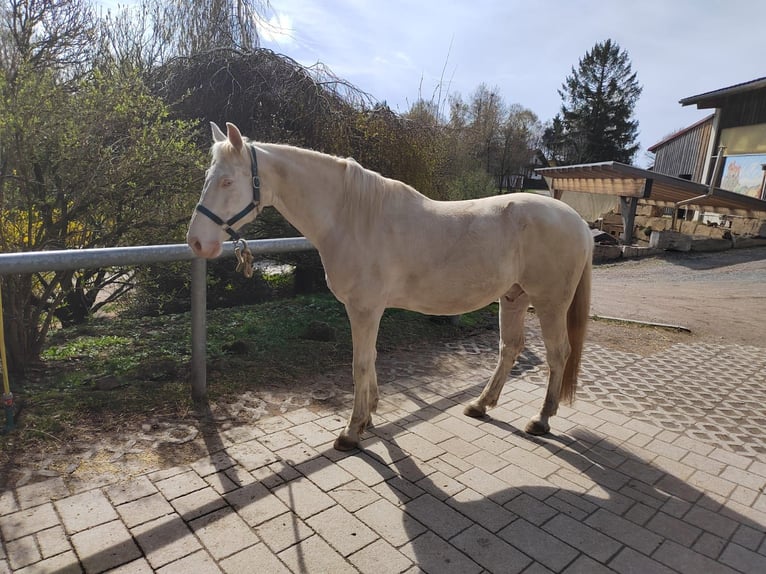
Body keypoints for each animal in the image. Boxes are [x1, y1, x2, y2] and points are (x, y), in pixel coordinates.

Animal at [186, 124, 592, 452]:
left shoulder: (364, 308)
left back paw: (541, 419)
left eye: (227, 181)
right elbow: (373, 358)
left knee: (559, 353)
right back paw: (480, 405)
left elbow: (360, 363)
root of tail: (578, 222)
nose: (196, 243)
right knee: (510, 348)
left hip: (550, 302)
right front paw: (369, 416)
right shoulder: (370, 310)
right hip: (513, 297)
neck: (353, 218)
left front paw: (352, 431)